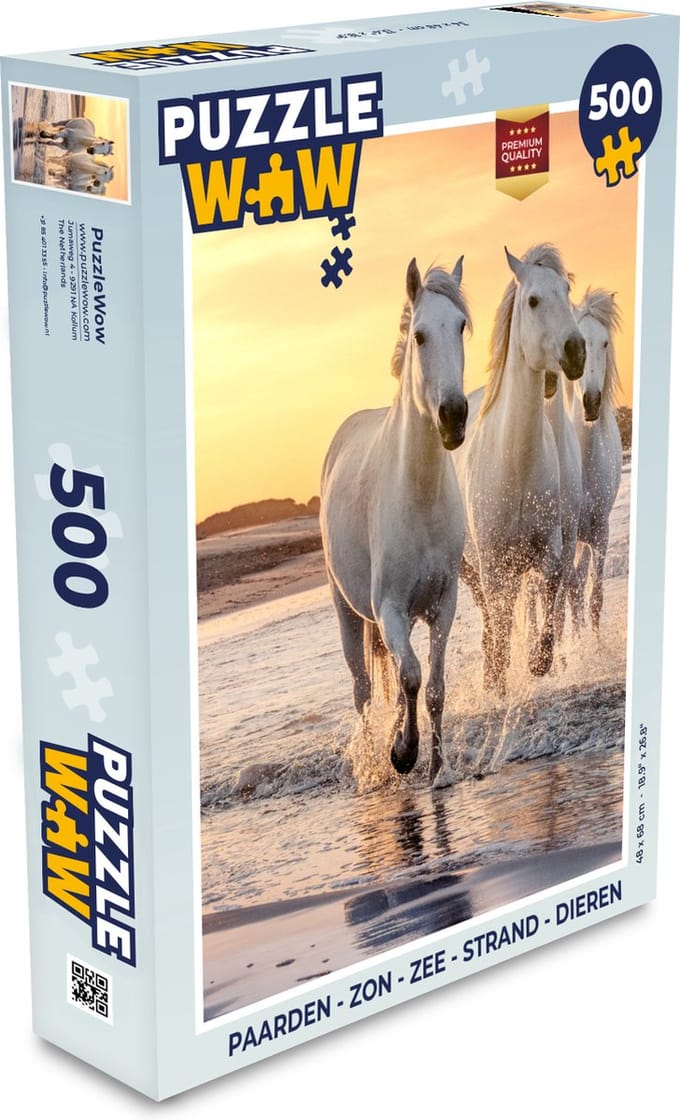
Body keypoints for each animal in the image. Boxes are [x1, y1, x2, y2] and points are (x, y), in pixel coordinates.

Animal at [321, 257, 470, 784]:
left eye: (461, 326)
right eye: (420, 335)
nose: (454, 415)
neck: (418, 496)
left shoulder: (444, 604)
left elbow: (436, 686)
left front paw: (438, 768)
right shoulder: (390, 610)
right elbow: (410, 675)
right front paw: (403, 752)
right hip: (346, 610)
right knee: (363, 690)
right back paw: (372, 762)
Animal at [456, 244, 585, 697]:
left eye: (566, 291)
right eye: (532, 300)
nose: (576, 351)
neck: (515, 464)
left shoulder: (548, 551)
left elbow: (548, 609)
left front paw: (538, 662)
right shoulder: (494, 567)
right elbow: (500, 625)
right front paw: (497, 681)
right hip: (472, 570)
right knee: (492, 621)